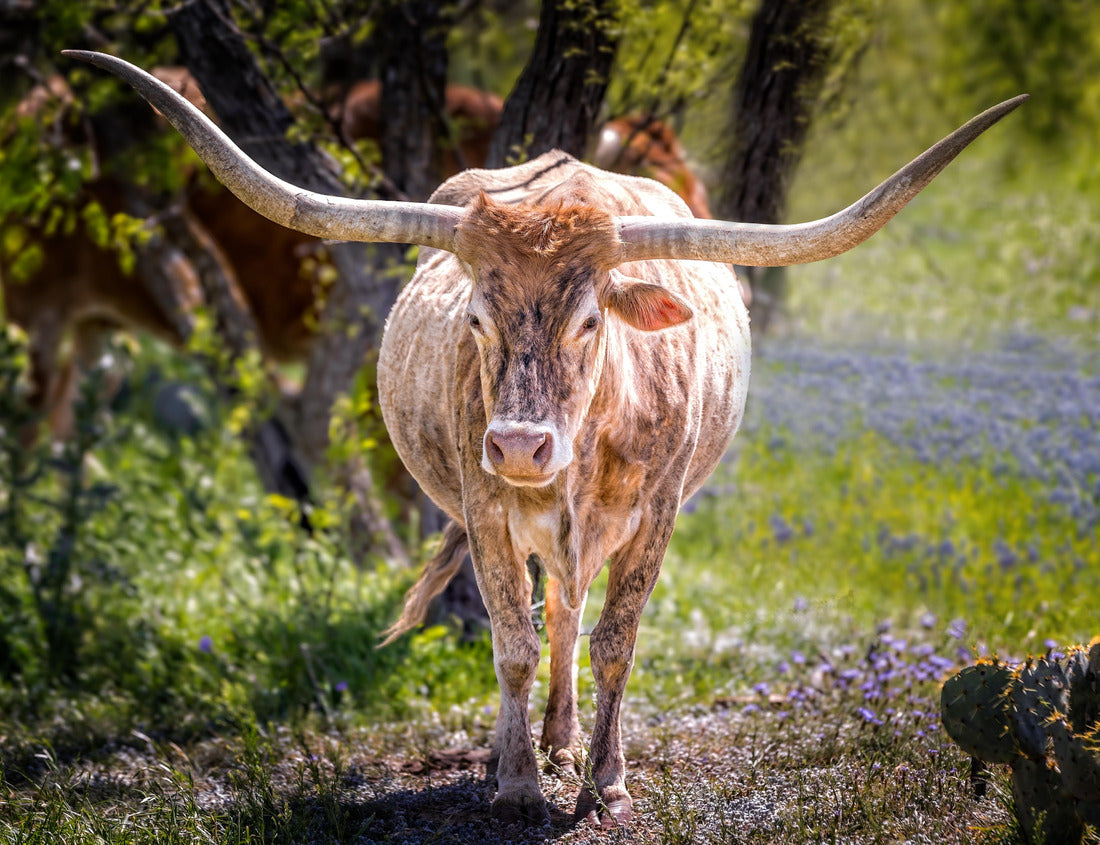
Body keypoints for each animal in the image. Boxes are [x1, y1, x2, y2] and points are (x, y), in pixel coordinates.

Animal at [66, 49, 1024, 827]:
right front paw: (520, 781)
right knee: (543, 611)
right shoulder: (487, 506)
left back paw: (568, 740)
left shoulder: (657, 511)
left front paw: (606, 780)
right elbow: (512, 642)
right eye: (479, 318)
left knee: (570, 605)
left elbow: (614, 639)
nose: (522, 446)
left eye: (590, 319)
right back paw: (521, 743)